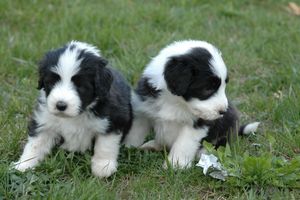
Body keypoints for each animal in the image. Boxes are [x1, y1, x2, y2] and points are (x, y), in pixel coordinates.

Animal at [14, 41, 133, 178]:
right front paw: (23, 165)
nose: (60, 105)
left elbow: (105, 144)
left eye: (80, 86)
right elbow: (35, 144)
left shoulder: (113, 119)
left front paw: (103, 167)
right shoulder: (44, 121)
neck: (76, 116)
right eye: (51, 82)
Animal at [123, 40, 258, 169]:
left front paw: (176, 165)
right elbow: (135, 132)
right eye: (208, 88)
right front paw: (128, 148)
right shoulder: (143, 111)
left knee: (222, 144)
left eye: (224, 86)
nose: (223, 111)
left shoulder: (197, 124)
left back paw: (203, 152)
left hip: (229, 124)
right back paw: (152, 145)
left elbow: (183, 144)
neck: (175, 102)